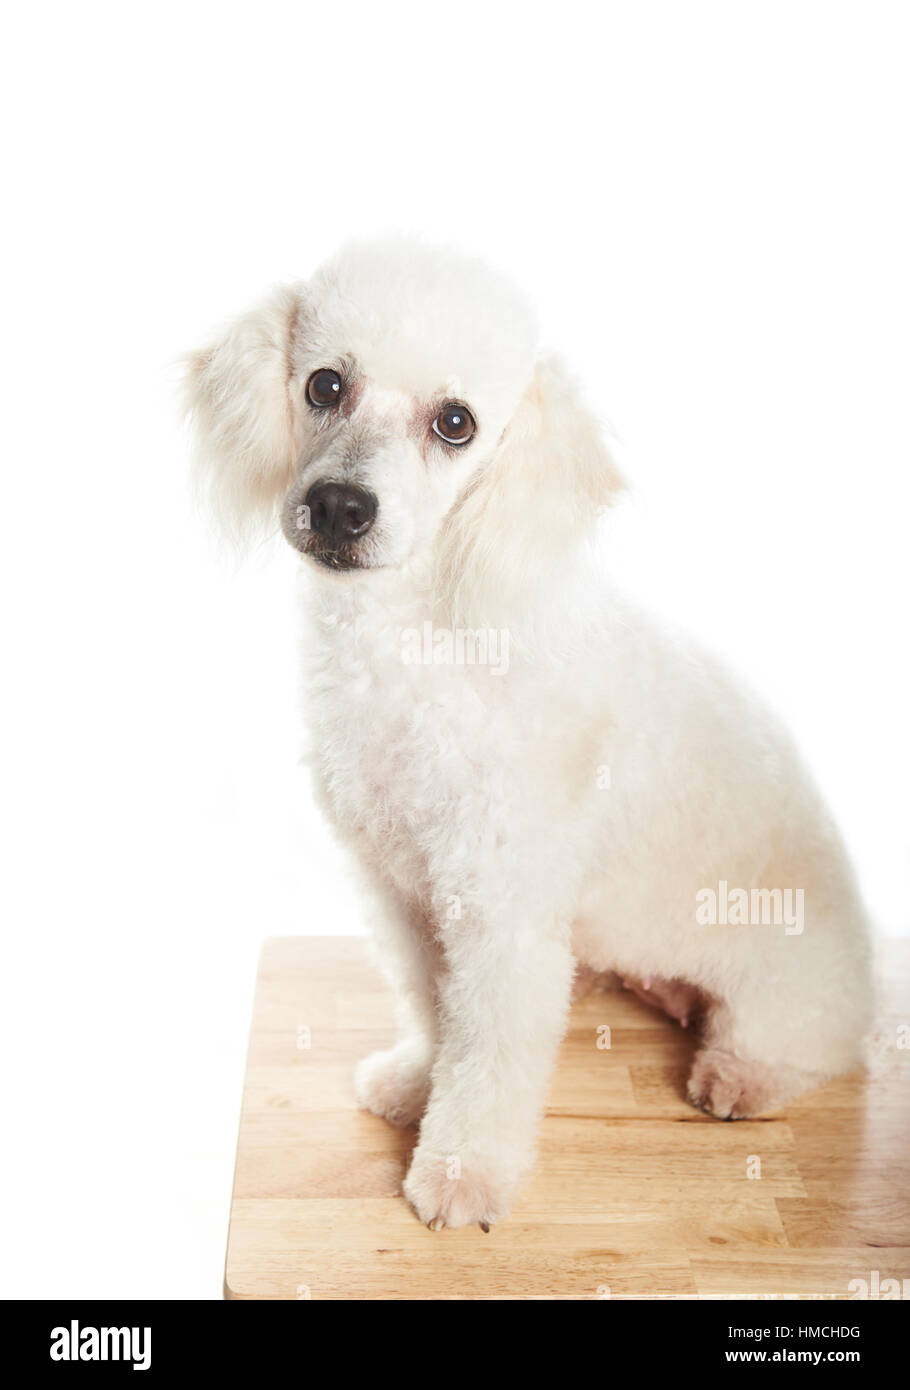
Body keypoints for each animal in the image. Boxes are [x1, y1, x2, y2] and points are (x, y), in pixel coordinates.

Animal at [184, 236, 878, 1228]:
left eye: (457, 423)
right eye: (324, 385)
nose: (340, 508)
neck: (421, 640)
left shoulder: (500, 913)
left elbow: (488, 1057)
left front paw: (462, 1172)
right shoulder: (400, 891)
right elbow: (433, 1009)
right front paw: (416, 1080)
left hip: (789, 981)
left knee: (813, 1044)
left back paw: (743, 1075)